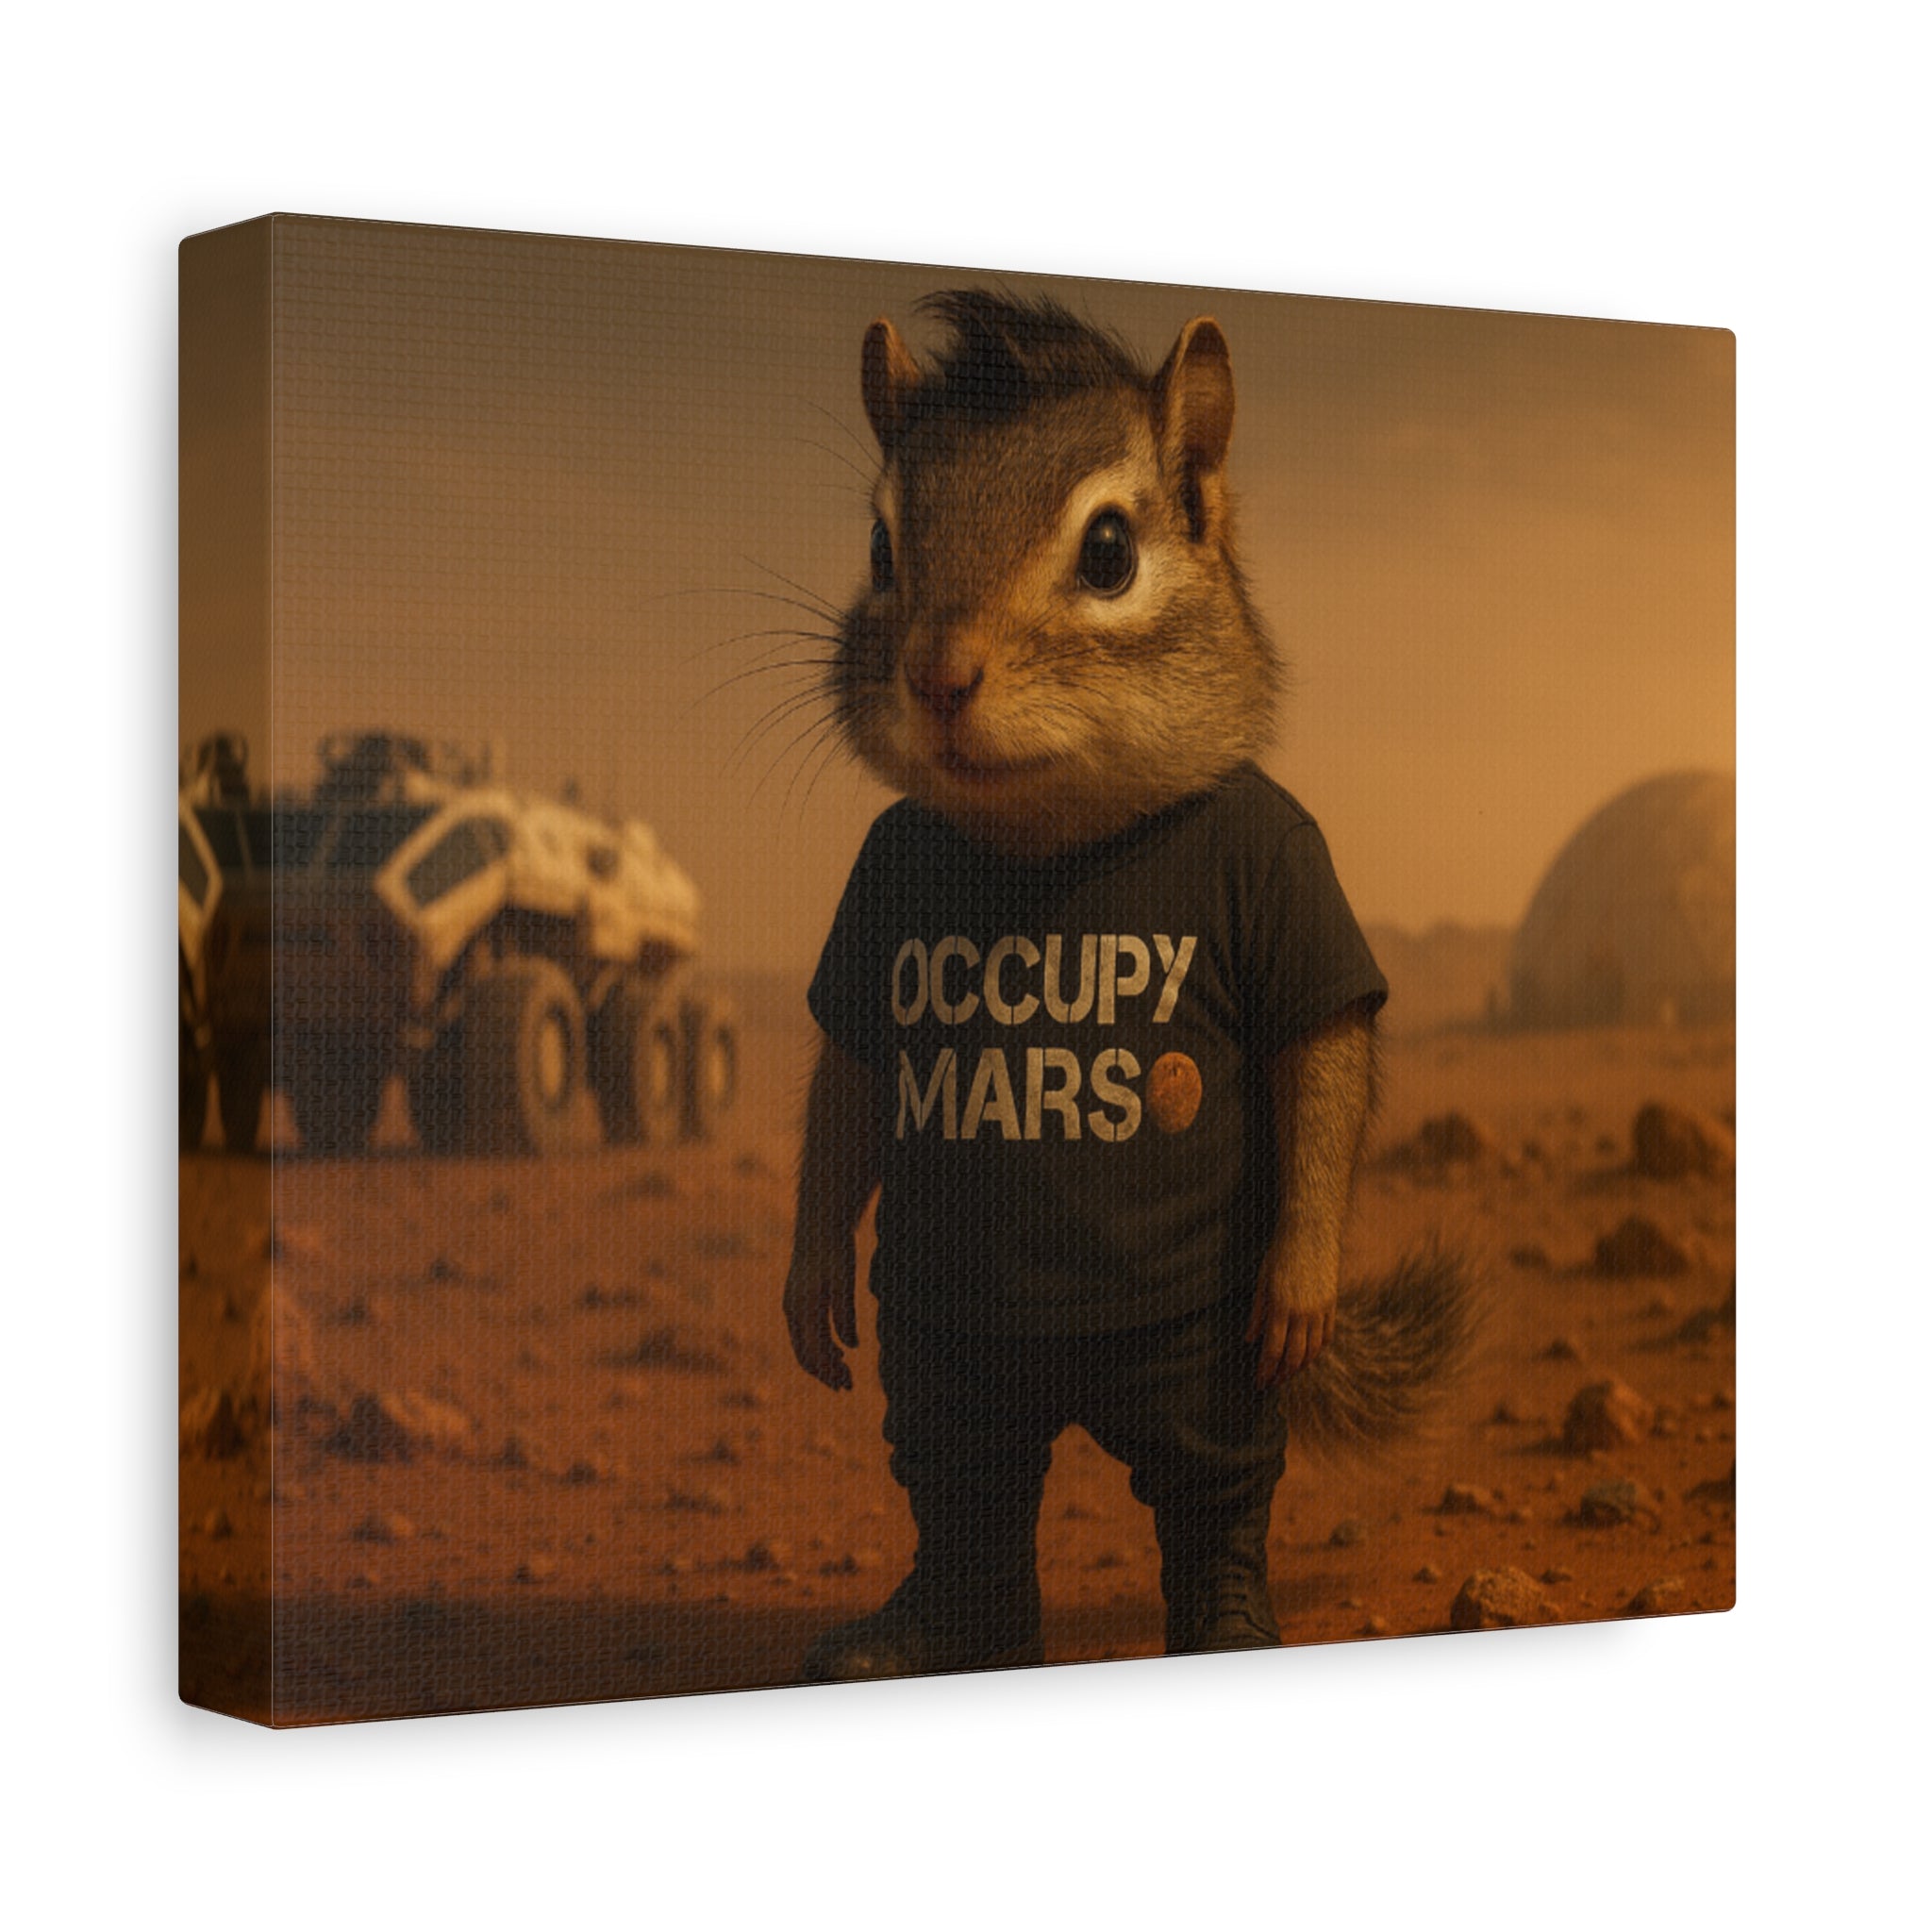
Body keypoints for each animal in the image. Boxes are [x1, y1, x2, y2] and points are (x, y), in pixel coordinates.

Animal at [785, 291, 1476, 1679]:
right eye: (881, 546)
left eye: (1109, 550)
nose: (936, 675)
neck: (1054, 840)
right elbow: (849, 1082)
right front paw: (809, 1281)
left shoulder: (1283, 870)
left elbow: (1318, 1047)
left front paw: (1302, 1272)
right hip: (946, 1361)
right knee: (965, 1468)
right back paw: (932, 1625)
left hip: (1200, 1370)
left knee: (1208, 1474)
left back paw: (1223, 1608)